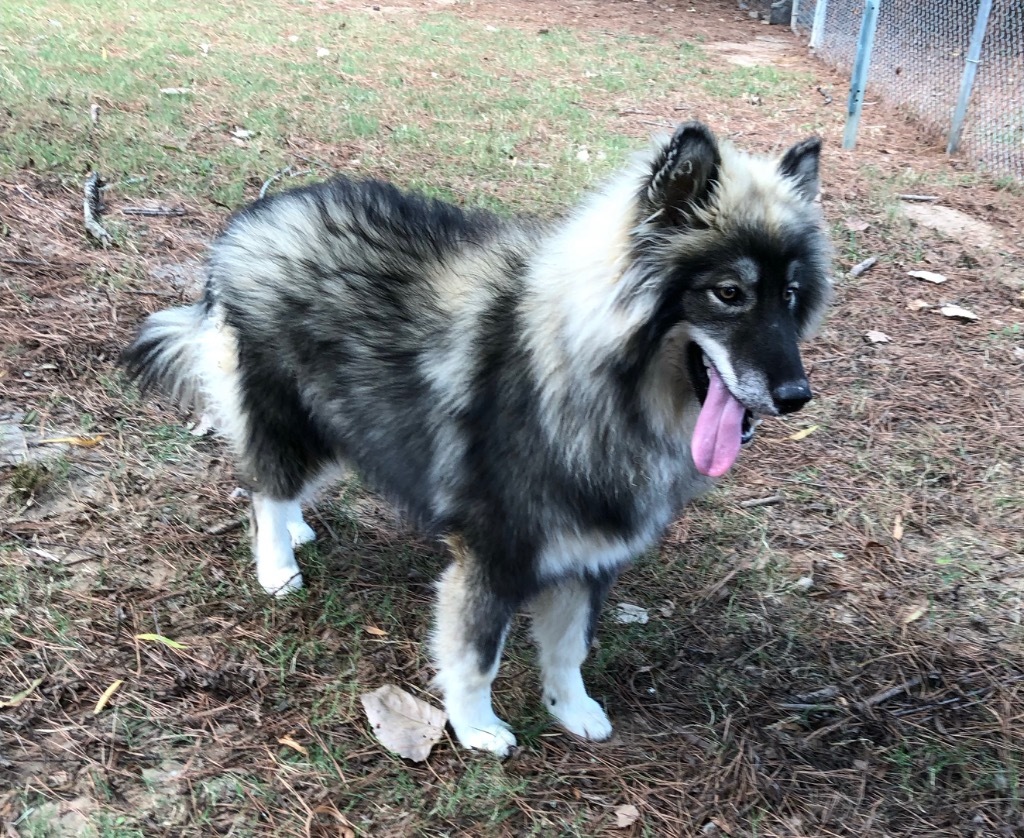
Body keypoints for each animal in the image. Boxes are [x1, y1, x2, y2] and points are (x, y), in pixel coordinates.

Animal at [121, 120, 831, 753]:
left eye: (791, 295)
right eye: (729, 292)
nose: (796, 397)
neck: (589, 379)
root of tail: (254, 218)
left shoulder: (590, 557)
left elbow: (568, 649)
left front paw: (571, 709)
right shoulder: (492, 555)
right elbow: (475, 658)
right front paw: (475, 728)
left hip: (343, 421)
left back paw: (296, 529)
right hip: (290, 417)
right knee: (266, 486)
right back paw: (276, 563)